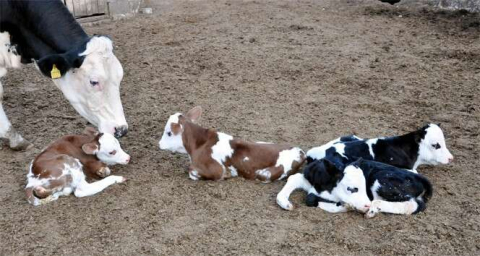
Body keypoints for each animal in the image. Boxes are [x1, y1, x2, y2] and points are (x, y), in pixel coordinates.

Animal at [159, 106, 306, 182]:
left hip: (265, 173)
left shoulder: (217, 169)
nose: (159, 144)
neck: (199, 145)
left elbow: (192, 171)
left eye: (169, 133)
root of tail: (300, 152)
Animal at [276, 156, 434, 218]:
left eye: (364, 186)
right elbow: (293, 180)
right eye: (351, 188)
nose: (366, 205)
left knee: (414, 204)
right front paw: (285, 203)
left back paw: (374, 208)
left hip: (382, 181)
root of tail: (419, 177)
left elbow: (312, 200)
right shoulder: (307, 178)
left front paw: (345, 206)